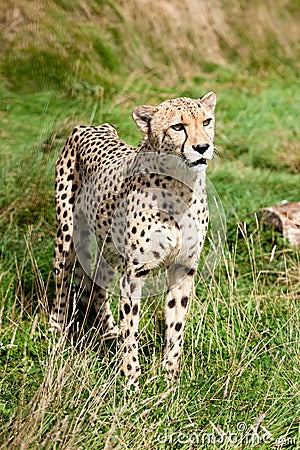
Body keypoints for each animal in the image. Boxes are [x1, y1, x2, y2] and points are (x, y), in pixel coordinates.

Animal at [50, 89, 217, 388]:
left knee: (98, 280)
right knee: (61, 282)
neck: (181, 182)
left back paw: (107, 331)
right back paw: (57, 334)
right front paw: (130, 381)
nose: (202, 147)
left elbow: (176, 323)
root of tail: (91, 126)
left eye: (207, 121)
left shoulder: (183, 267)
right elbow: (131, 328)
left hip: (109, 247)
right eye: (178, 127)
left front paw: (170, 379)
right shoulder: (134, 271)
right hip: (68, 234)